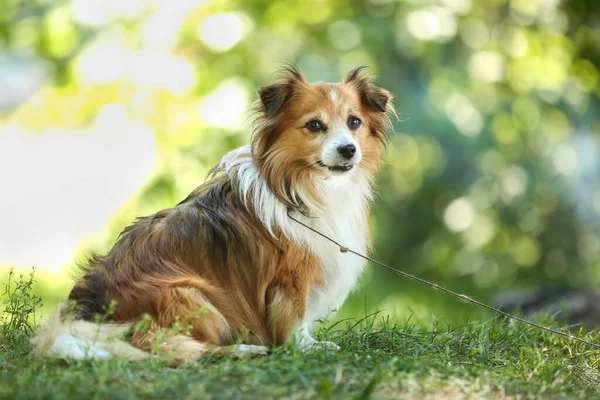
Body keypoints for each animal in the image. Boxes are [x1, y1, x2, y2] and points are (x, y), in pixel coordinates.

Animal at [31, 66, 394, 362]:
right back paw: (246, 349)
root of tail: (88, 310)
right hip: (194, 296)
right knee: (180, 350)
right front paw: (306, 347)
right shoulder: (289, 278)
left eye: (354, 122)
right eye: (315, 125)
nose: (348, 149)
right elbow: (294, 318)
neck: (297, 186)